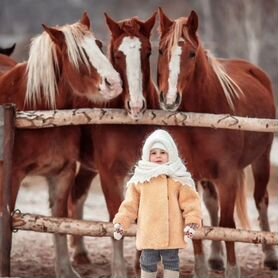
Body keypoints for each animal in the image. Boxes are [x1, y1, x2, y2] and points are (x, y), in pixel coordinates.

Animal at [0, 11, 122, 276]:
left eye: (98, 45)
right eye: (78, 54)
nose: (114, 83)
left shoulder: (62, 173)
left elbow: (59, 220)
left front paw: (66, 269)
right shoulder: (10, 176)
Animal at [67, 11, 160, 276]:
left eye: (148, 51)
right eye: (118, 55)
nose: (136, 106)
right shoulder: (109, 174)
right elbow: (115, 215)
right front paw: (119, 269)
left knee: (76, 194)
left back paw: (80, 252)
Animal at [156, 8, 276, 278]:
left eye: (191, 54)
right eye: (160, 50)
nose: (170, 100)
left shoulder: (228, 177)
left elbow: (227, 224)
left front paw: (233, 269)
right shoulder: (189, 176)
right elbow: (198, 222)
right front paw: (202, 267)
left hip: (262, 159)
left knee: (261, 200)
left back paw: (269, 256)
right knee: (212, 205)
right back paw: (215, 258)